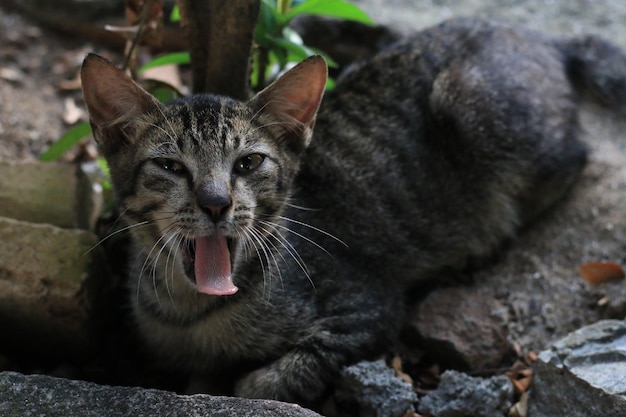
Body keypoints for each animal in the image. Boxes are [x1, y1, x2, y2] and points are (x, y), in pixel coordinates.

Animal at [80, 18, 624, 406]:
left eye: (248, 163)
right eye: (170, 166)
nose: (217, 202)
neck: (190, 312)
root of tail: (542, 37)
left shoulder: (368, 307)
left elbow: (274, 378)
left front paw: (239, 381)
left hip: (471, 104)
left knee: (577, 158)